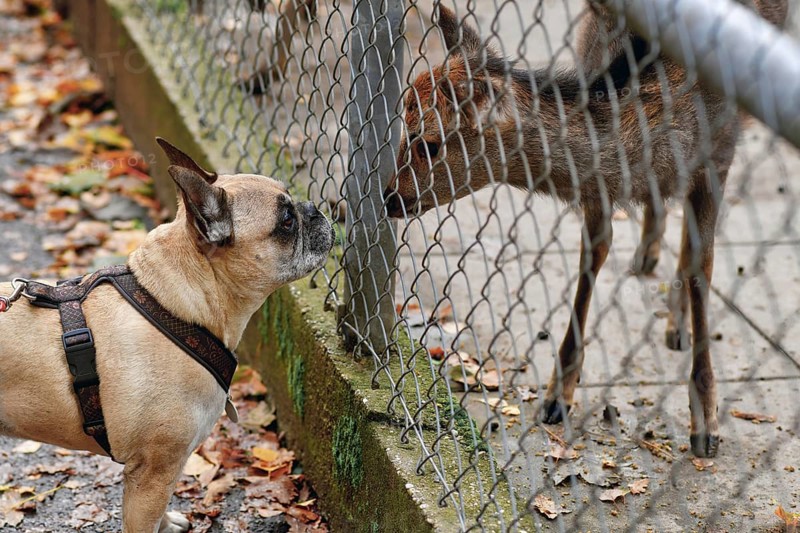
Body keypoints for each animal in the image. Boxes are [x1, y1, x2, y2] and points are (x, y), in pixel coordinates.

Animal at [383, 1, 788, 458]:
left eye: (429, 143)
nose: (389, 197)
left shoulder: (719, 154)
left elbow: (703, 270)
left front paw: (705, 422)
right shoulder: (599, 181)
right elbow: (592, 258)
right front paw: (557, 395)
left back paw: (675, 324)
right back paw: (647, 256)